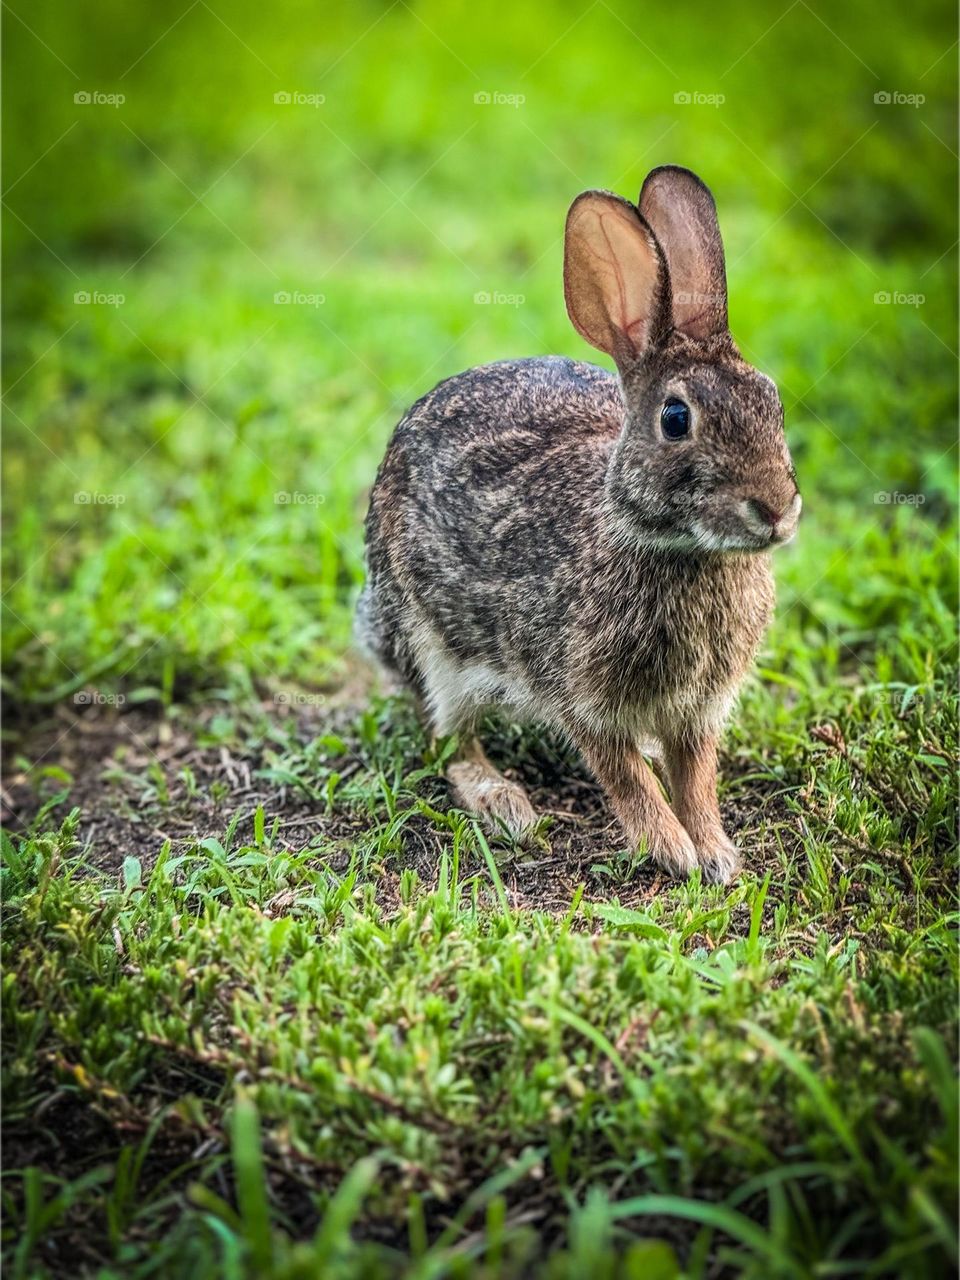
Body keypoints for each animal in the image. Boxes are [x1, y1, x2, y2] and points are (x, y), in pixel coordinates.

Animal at [358, 165, 798, 885]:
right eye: (676, 419)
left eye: (773, 402)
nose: (778, 510)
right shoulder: (581, 696)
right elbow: (623, 775)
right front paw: (670, 848)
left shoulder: (699, 711)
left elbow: (696, 776)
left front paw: (715, 853)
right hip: (432, 644)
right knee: (448, 737)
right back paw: (504, 802)